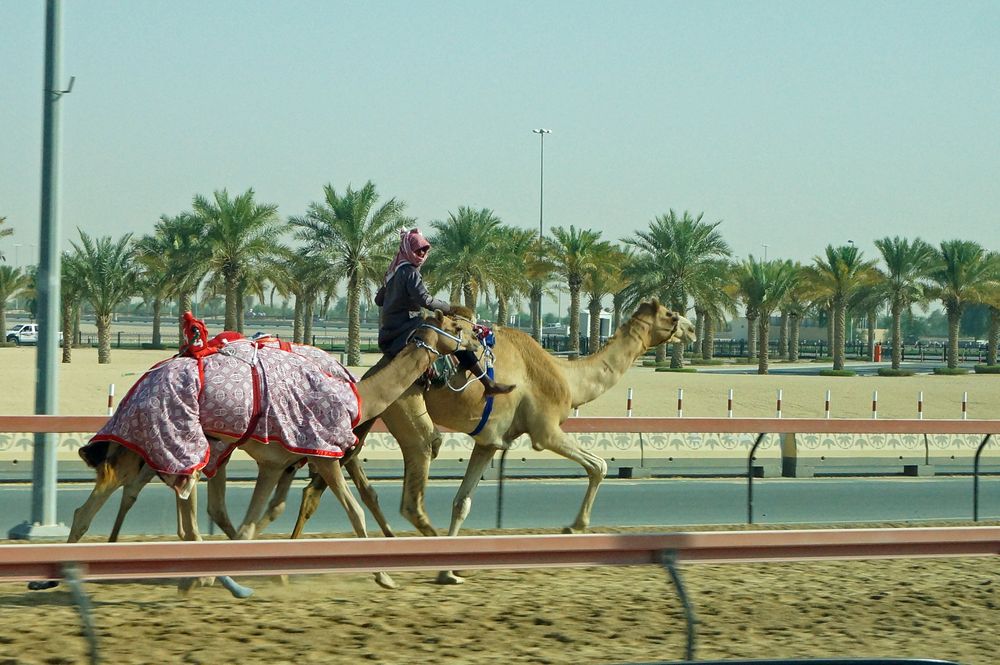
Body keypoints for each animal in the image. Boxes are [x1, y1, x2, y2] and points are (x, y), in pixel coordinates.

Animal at [32, 312, 480, 596]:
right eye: (457, 325)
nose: (480, 339)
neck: (357, 397)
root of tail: (139, 385)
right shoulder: (322, 453)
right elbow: (354, 513)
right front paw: (384, 575)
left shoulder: (274, 463)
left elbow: (252, 523)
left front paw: (252, 573)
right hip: (170, 436)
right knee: (127, 494)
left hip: (176, 445)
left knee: (136, 499)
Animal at [290, 298, 696, 584]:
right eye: (671, 314)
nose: (691, 329)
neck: (567, 377)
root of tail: (368, 373)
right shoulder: (545, 430)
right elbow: (598, 465)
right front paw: (574, 526)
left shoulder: (491, 442)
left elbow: (462, 502)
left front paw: (450, 570)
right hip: (408, 409)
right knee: (414, 488)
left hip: (369, 422)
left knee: (322, 484)